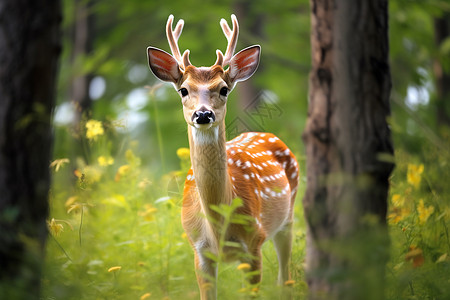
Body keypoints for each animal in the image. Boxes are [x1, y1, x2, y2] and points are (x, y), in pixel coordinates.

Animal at [147, 14, 298, 300]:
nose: (203, 114)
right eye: (183, 90)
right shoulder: (199, 252)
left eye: (224, 89)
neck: (218, 231)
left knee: (285, 278)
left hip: (288, 217)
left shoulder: (254, 242)